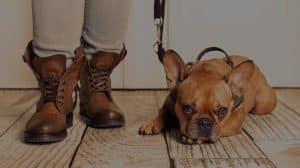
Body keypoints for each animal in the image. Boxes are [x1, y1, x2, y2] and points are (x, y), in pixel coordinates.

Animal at [138, 47, 276, 144]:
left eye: (222, 111)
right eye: (187, 108)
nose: (205, 123)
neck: (207, 70)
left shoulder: (235, 120)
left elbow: (221, 128)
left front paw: (195, 139)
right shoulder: (169, 103)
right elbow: (162, 113)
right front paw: (152, 123)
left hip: (263, 104)